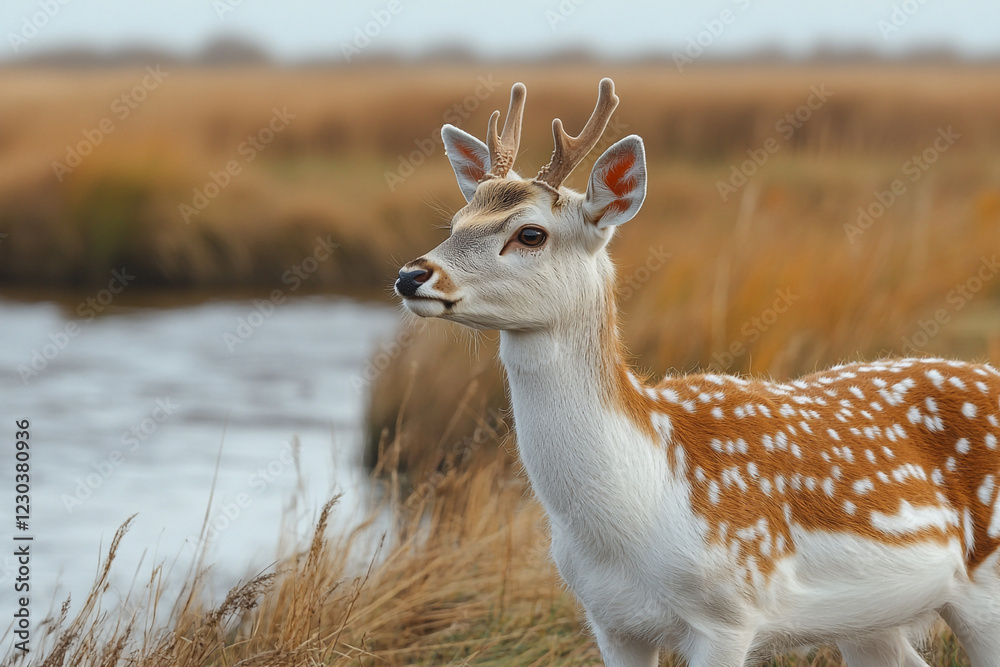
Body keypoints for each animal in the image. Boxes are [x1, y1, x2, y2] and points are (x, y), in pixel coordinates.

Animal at [393, 78, 1000, 667]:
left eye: (530, 234)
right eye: (455, 222)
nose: (411, 275)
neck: (641, 506)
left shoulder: (729, 612)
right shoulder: (610, 621)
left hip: (985, 590)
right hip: (870, 625)